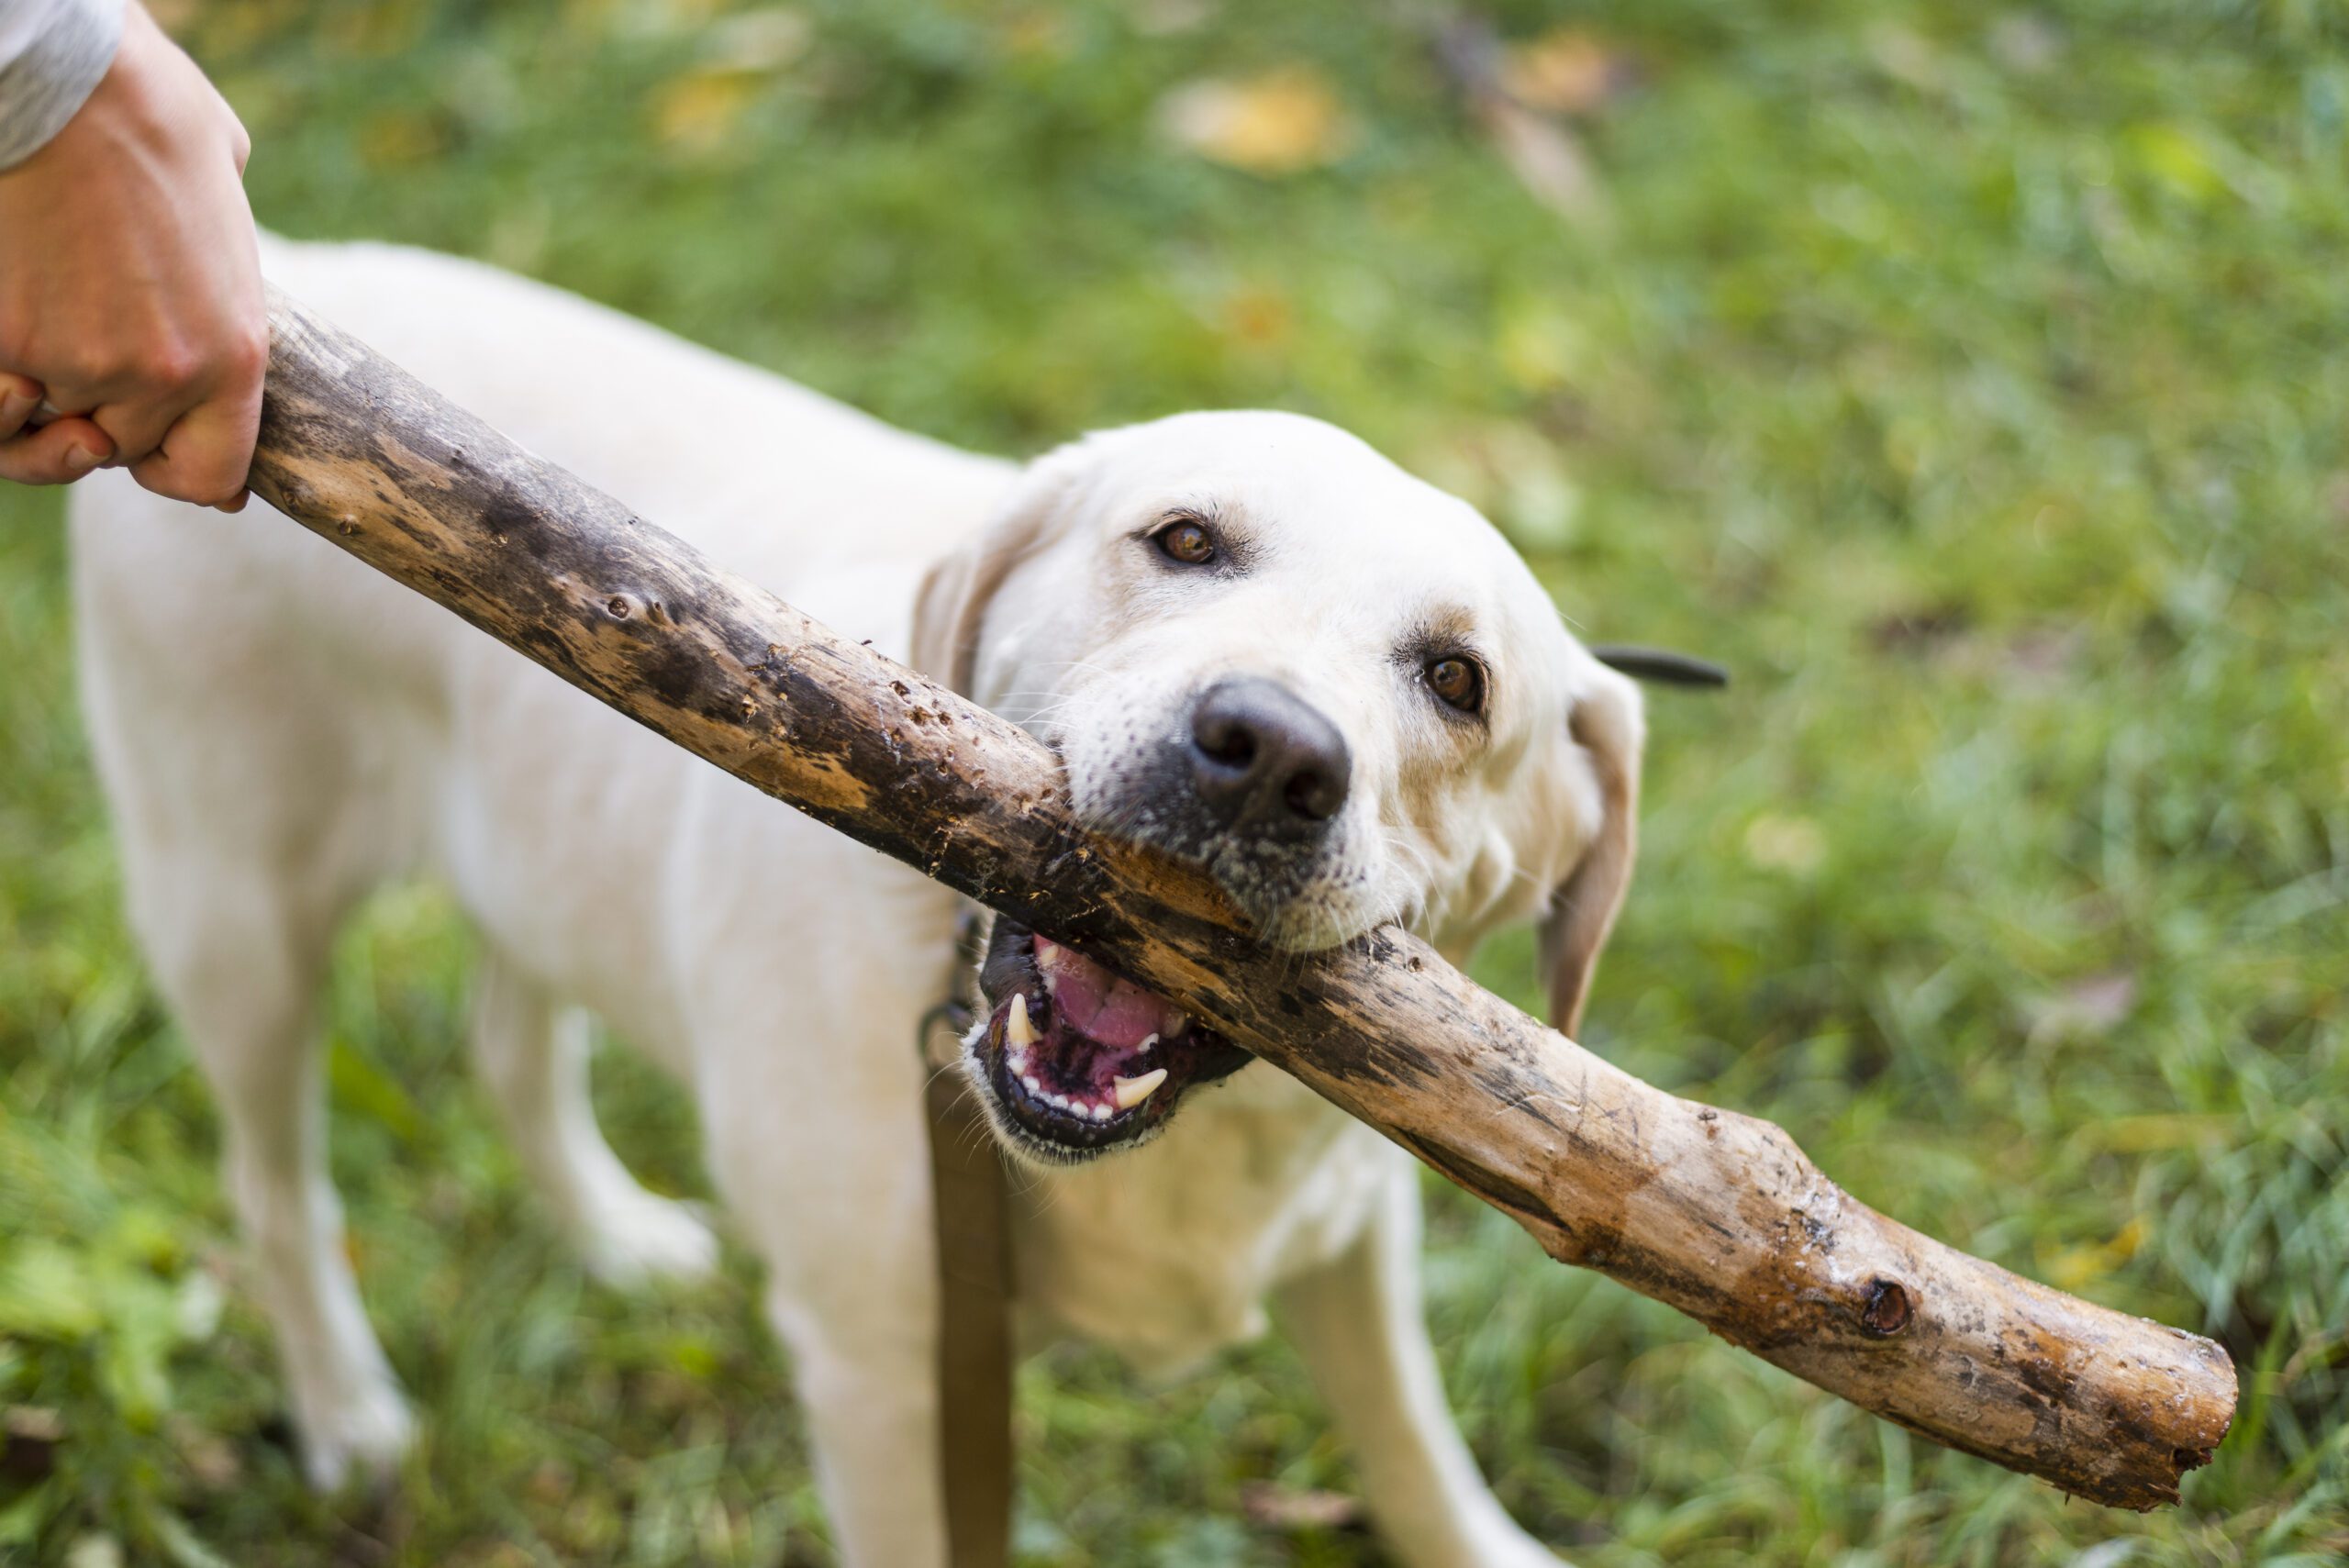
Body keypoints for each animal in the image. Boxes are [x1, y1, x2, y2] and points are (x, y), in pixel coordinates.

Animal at [68, 236, 1634, 1568]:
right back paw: (345, 1412)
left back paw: (613, 1233)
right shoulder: (886, 1372)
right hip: (233, 911)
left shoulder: (1356, 1239)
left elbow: (1417, 1449)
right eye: (1185, 540)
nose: (1265, 754)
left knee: (512, 1039)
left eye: (1457, 682)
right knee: (275, 1186)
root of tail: (284, 266)